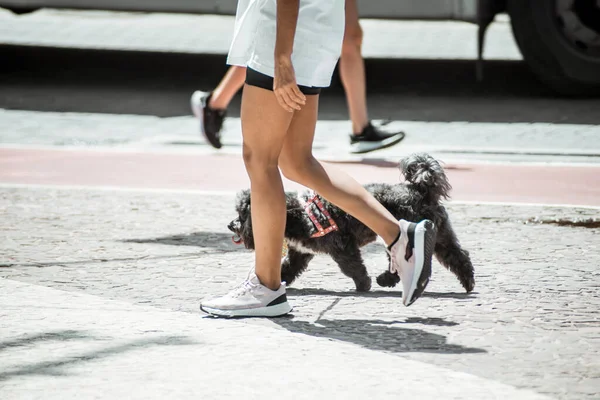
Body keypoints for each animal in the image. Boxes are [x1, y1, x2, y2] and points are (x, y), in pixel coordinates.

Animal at [227, 153, 476, 294]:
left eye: (242, 214)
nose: (230, 225)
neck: (298, 214)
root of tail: (420, 190)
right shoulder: (301, 253)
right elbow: (287, 268)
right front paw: (277, 283)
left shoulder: (342, 246)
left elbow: (352, 267)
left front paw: (363, 285)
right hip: (440, 235)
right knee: (458, 255)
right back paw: (468, 283)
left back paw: (385, 280)